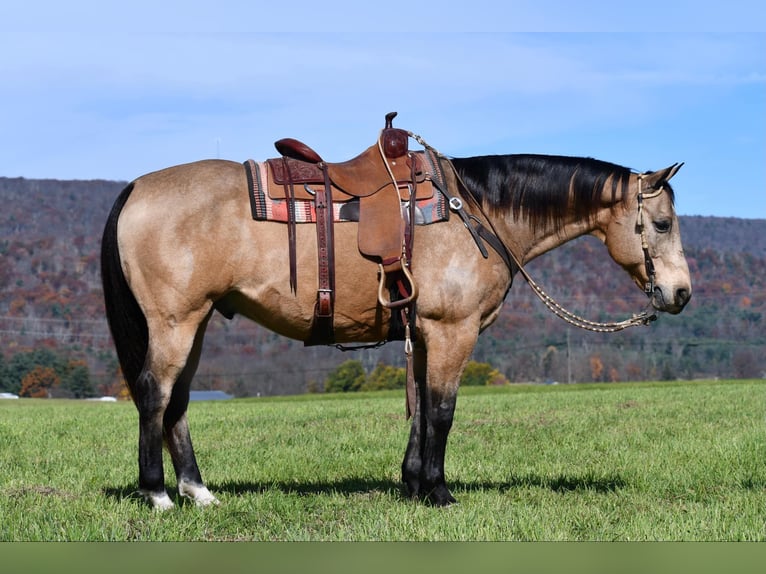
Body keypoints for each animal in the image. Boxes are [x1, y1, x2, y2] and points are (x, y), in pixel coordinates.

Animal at [99, 115, 692, 510]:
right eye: (662, 224)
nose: (681, 293)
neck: (476, 212)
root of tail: (137, 188)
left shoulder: (425, 333)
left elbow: (422, 409)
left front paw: (412, 484)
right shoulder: (453, 331)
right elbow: (443, 411)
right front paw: (440, 492)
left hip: (195, 323)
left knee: (177, 402)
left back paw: (198, 491)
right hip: (174, 323)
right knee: (154, 394)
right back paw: (157, 495)